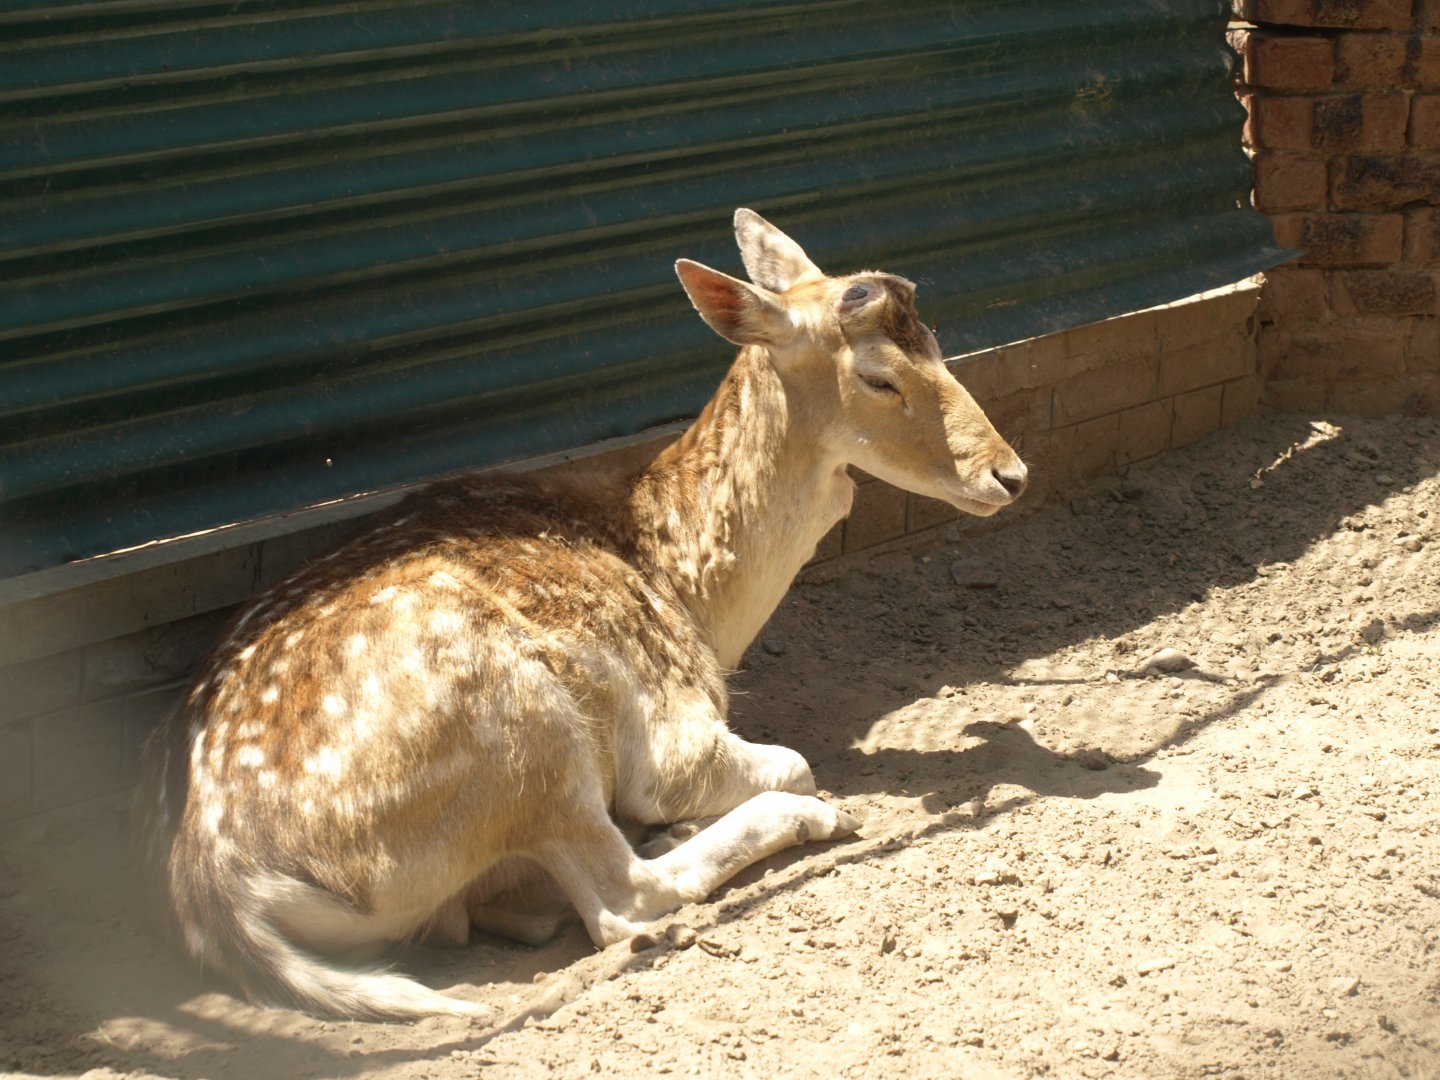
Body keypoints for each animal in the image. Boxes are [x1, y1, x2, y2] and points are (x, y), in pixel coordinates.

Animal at [133, 208, 1028, 1021]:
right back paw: (775, 824)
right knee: (621, 901)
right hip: (522, 729)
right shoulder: (670, 733)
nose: (1011, 474)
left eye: (937, 339)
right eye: (880, 376)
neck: (691, 599)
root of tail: (223, 895)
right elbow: (786, 762)